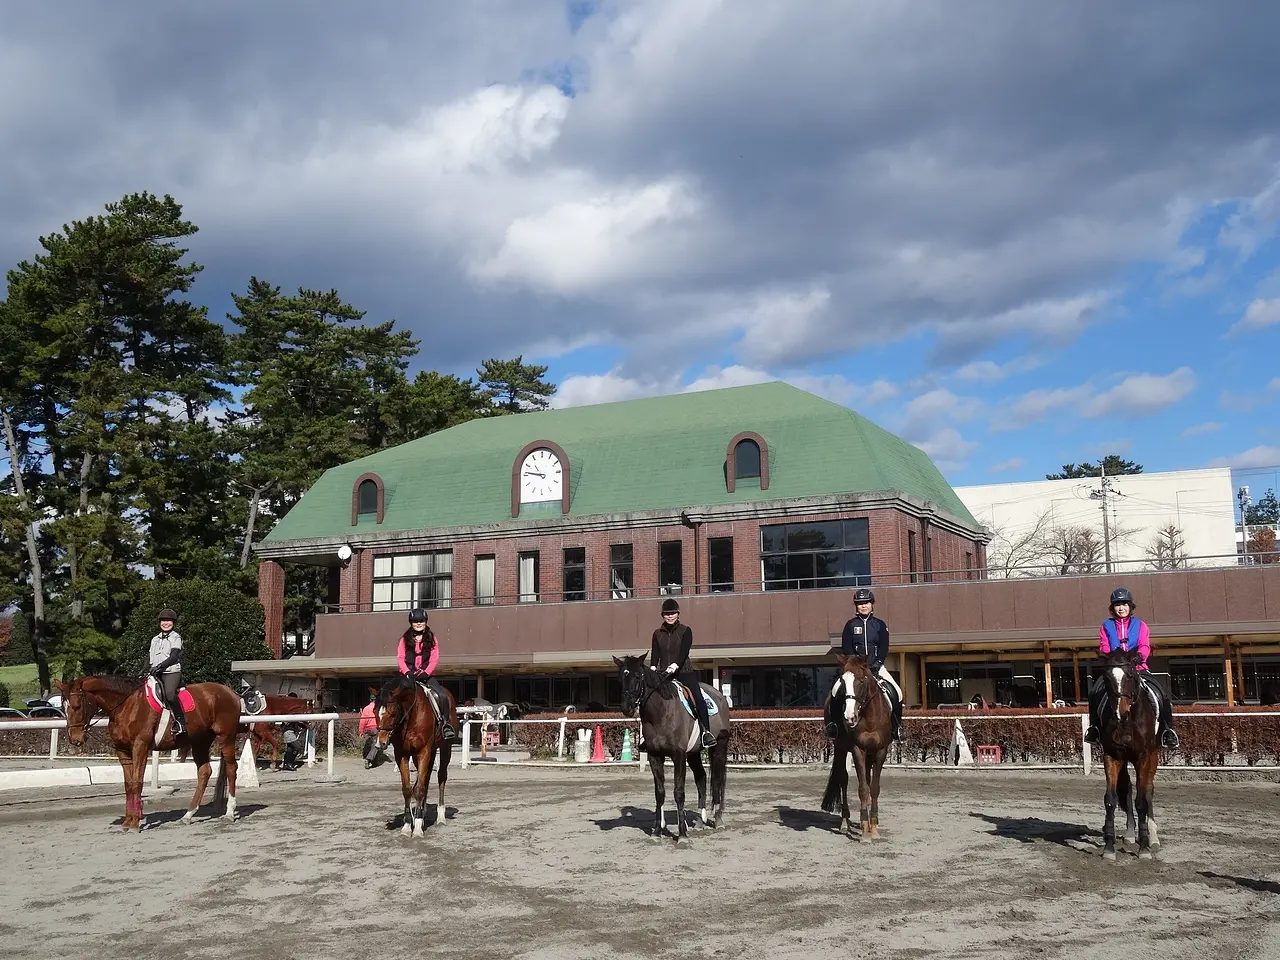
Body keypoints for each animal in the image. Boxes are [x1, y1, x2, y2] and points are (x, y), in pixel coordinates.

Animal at [60, 670, 244, 829]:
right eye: (63, 707)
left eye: (77, 706)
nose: (74, 739)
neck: (126, 705)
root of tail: (229, 691)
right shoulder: (122, 750)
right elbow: (128, 784)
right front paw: (128, 821)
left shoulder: (140, 746)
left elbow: (137, 782)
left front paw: (135, 823)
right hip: (200, 741)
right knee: (204, 772)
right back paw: (188, 815)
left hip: (225, 737)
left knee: (231, 768)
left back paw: (229, 813)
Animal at [373, 670, 458, 839]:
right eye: (374, 712)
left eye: (393, 713)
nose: (381, 743)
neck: (411, 715)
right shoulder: (402, 754)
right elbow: (408, 789)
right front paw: (407, 825)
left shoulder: (423, 751)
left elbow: (418, 789)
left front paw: (417, 828)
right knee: (425, 780)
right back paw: (423, 814)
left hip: (445, 747)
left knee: (441, 777)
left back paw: (440, 816)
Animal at [616, 655, 737, 839]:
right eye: (621, 678)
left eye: (637, 676)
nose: (626, 707)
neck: (661, 713)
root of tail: (720, 696)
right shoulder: (654, 755)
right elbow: (659, 792)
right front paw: (657, 831)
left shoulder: (678, 755)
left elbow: (678, 792)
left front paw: (681, 834)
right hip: (693, 752)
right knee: (701, 777)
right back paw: (700, 821)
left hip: (719, 747)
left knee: (716, 780)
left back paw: (718, 819)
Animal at [819, 655, 890, 839]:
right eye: (843, 682)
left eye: (862, 680)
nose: (850, 717)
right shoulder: (858, 749)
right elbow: (863, 789)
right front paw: (865, 831)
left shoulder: (881, 750)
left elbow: (874, 788)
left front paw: (873, 827)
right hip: (841, 747)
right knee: (843, 779)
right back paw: (845, 822)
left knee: (867, 778)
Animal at [1090, 650, 1162, 860]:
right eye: (1106, 677)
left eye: (1130, 674)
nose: (1120, 712)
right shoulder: (1112, 756)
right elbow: (1110, 800)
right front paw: (1109, 847)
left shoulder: (1144, 757)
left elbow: (1142, 801)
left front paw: (1144, 848)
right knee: (1128, 789)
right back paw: (1130, 834)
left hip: (1153, 756)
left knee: (1148, 791)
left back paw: (1153, 838)